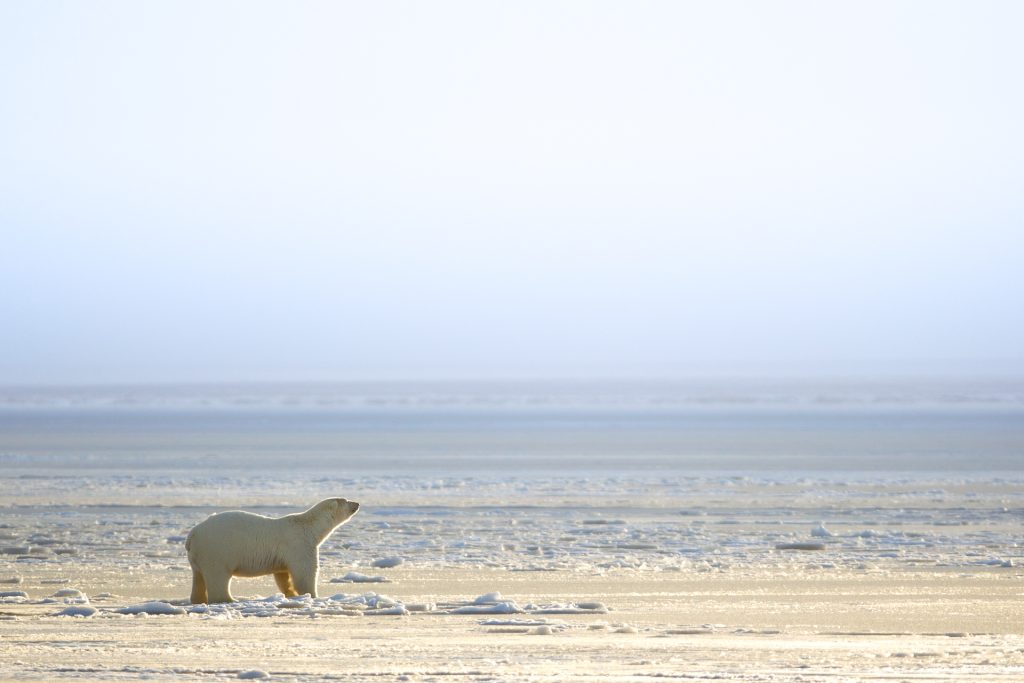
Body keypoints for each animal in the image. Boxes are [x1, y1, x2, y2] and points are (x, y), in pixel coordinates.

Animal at [185, 497, 360, 602]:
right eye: (346, 501)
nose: (357, 503)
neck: (308, 527)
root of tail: (193, 533)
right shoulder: (298, 544)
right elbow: (305, 572)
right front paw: (313, 595)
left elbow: (283, 575)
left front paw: (291, 594)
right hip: (218, 549)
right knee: (218, 575)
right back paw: (228, 599)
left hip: (197, 555)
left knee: (198, 576)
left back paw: (198, 599)